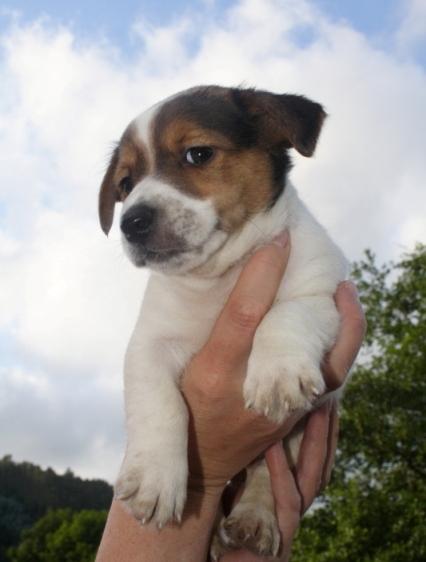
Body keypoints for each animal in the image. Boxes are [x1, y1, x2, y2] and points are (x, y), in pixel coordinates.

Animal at [99, 84, 346, 556]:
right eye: (125, 184)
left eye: (198, 154)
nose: (131, 222)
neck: (219, 277)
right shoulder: (149, 343)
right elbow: (159, 403)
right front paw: (155, 476)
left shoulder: (323, 295)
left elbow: (285, 315)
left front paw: (276, 374)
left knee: (266, 473)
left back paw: (253, 519)